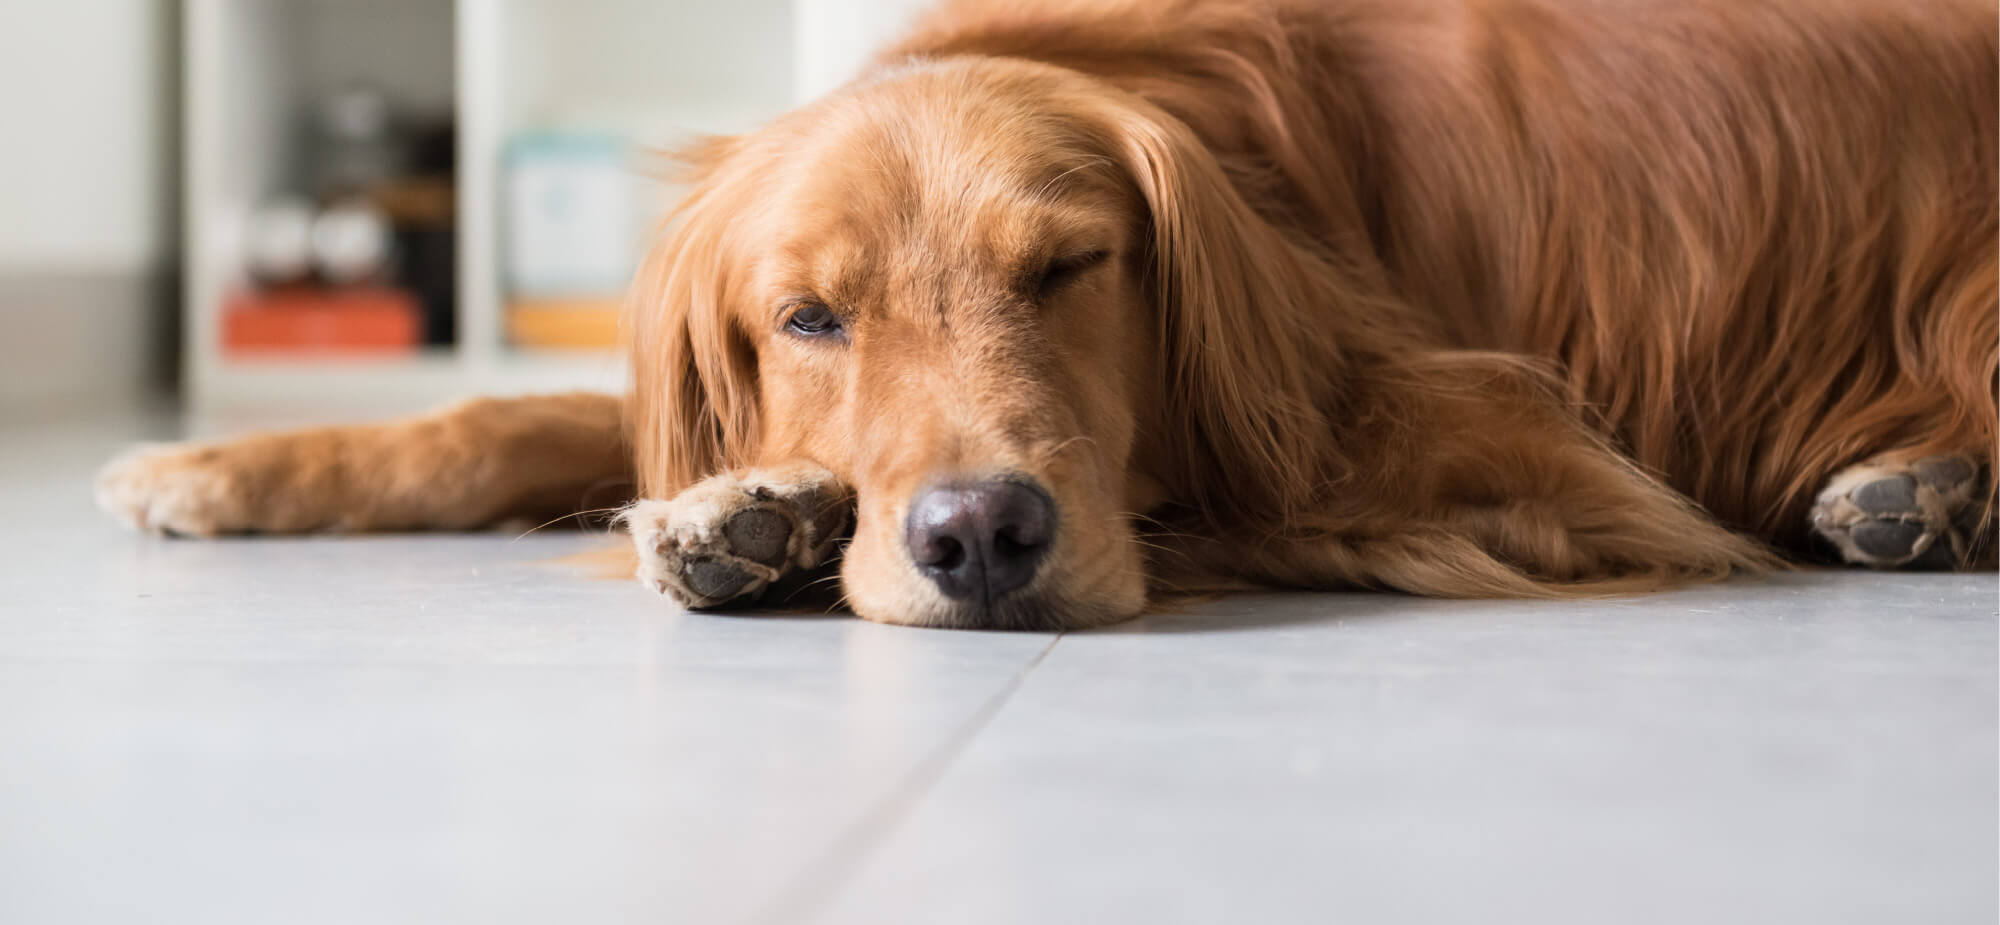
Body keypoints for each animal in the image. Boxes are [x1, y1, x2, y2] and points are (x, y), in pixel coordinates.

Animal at [101, 0, 1992, 628]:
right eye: (809, 319)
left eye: (1072, 270)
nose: (981, 540)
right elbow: (513, 418)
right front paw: (214, 468)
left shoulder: (1531, 459)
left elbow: (1234, 499)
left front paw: (757, 522)